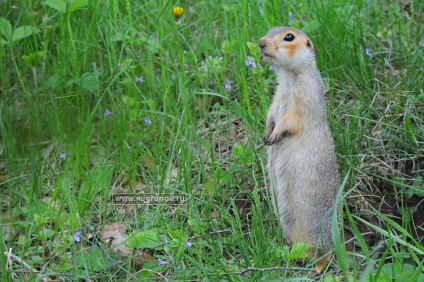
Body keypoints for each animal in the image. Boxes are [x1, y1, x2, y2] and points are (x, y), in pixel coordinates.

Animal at [256, 26, 340, 274]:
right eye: (269, 30)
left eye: (289, 37)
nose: (260, 42)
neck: (288, 77)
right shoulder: (277, 97)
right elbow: (271, 113)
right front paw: (266, 134)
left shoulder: (305, 95)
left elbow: (291, 119)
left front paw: (274, 135)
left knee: (323, 254)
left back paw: (318, 267)